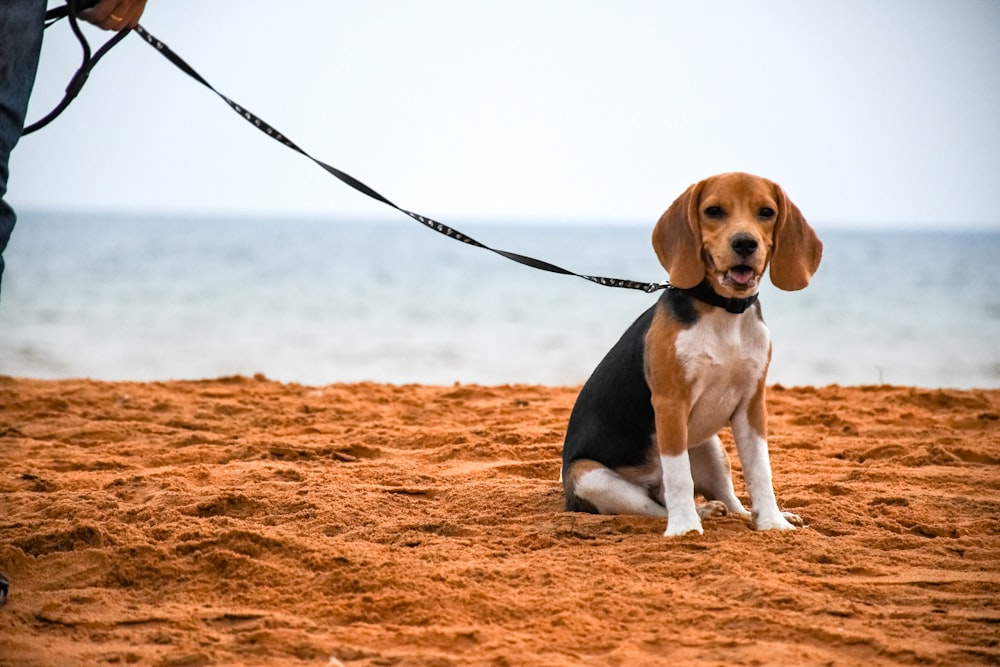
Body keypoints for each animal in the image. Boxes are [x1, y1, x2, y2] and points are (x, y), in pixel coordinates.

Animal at [564, 171, 820, 536]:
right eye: (713, 211)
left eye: (766, 212)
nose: (745, 243)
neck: (725, 312)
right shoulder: (670, 404)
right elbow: (679, 477)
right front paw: (685, 528)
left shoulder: (752, 404)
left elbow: (760, 470)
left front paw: (773, 523)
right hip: (591, 476)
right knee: (656, 505)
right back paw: (696, 514)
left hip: (709, 446)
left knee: (729, 499)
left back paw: (738, 512)